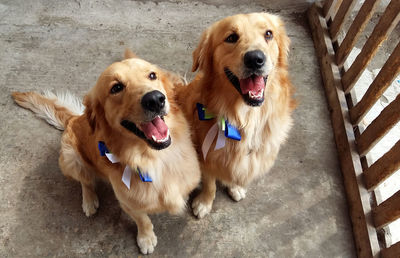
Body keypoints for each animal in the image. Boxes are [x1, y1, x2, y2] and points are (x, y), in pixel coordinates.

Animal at [12, 50, 202, 254]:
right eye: (116, 87)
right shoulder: (127, 202)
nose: (155, 99)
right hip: (71, 158)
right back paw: (89, 201)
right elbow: (143, 220)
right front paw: (146, 239)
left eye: (152, 75)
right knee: (85, 181)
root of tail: (73, 118)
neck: (153, 158)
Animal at [177, 12, 296, 218]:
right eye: (231, 37)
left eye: (268, 34)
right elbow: (210, 183)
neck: (245, 116)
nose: (255, 59)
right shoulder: (205, 156)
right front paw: (204, 203)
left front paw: (235, 187)